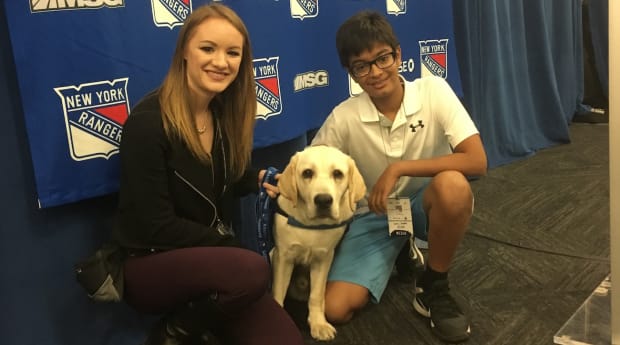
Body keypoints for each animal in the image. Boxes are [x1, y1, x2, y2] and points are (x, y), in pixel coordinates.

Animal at [270, 144, 366, 338]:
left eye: (338, 173)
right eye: (307, 173)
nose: (323, 200)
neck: (311, 225)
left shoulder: (323, 259)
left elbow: (316, 295)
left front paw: (318, 324)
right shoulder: (283, 257)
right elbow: (278, 293)